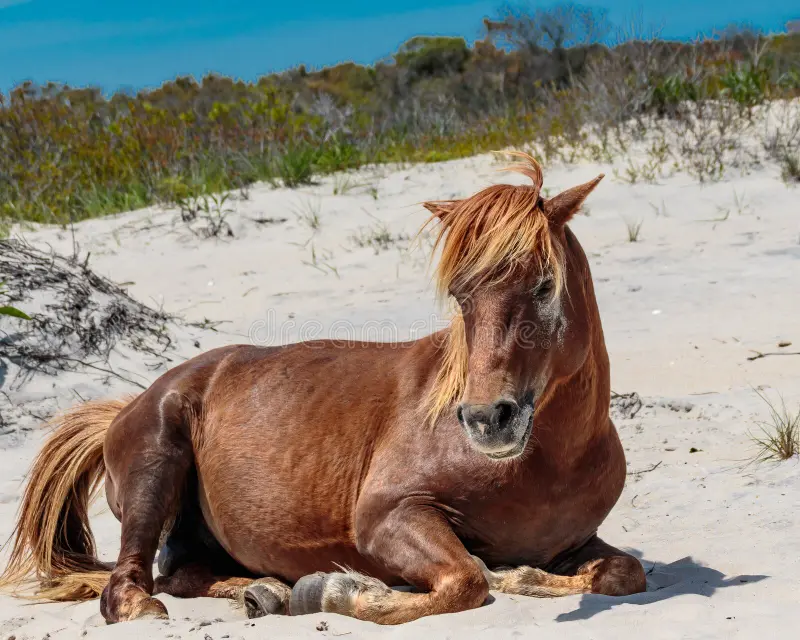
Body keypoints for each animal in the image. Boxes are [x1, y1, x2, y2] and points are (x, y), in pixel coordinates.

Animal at [0, 153, 646, 625]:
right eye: (461, 296)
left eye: (544, 286)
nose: (488, 419)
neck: (547, 466)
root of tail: (127, 405)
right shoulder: (387, 514)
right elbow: (465, 581)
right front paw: (335, 592)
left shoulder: (577, 540)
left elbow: (623, 574)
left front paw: (520, 575)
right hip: (156, 462)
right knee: (129, 585)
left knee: (183, 573)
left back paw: (264, 591)